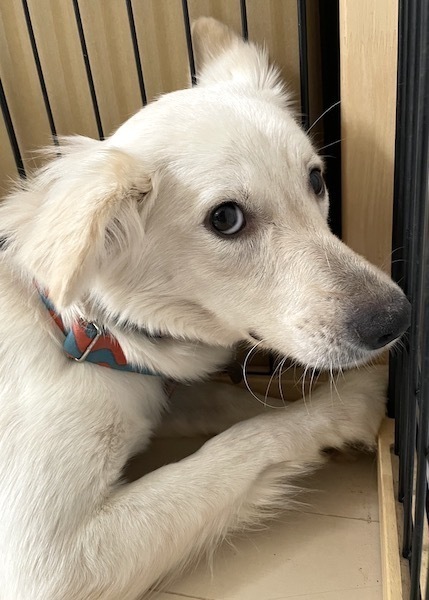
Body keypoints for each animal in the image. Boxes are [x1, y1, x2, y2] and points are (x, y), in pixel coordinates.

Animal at [0, 18, 410, 600]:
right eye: (226, 219)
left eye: (316, 179)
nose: (397, 319)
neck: (86, 333)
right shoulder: (46, 563)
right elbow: (236, 444)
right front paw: (351, 402)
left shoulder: (156, 396)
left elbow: (235, 405)